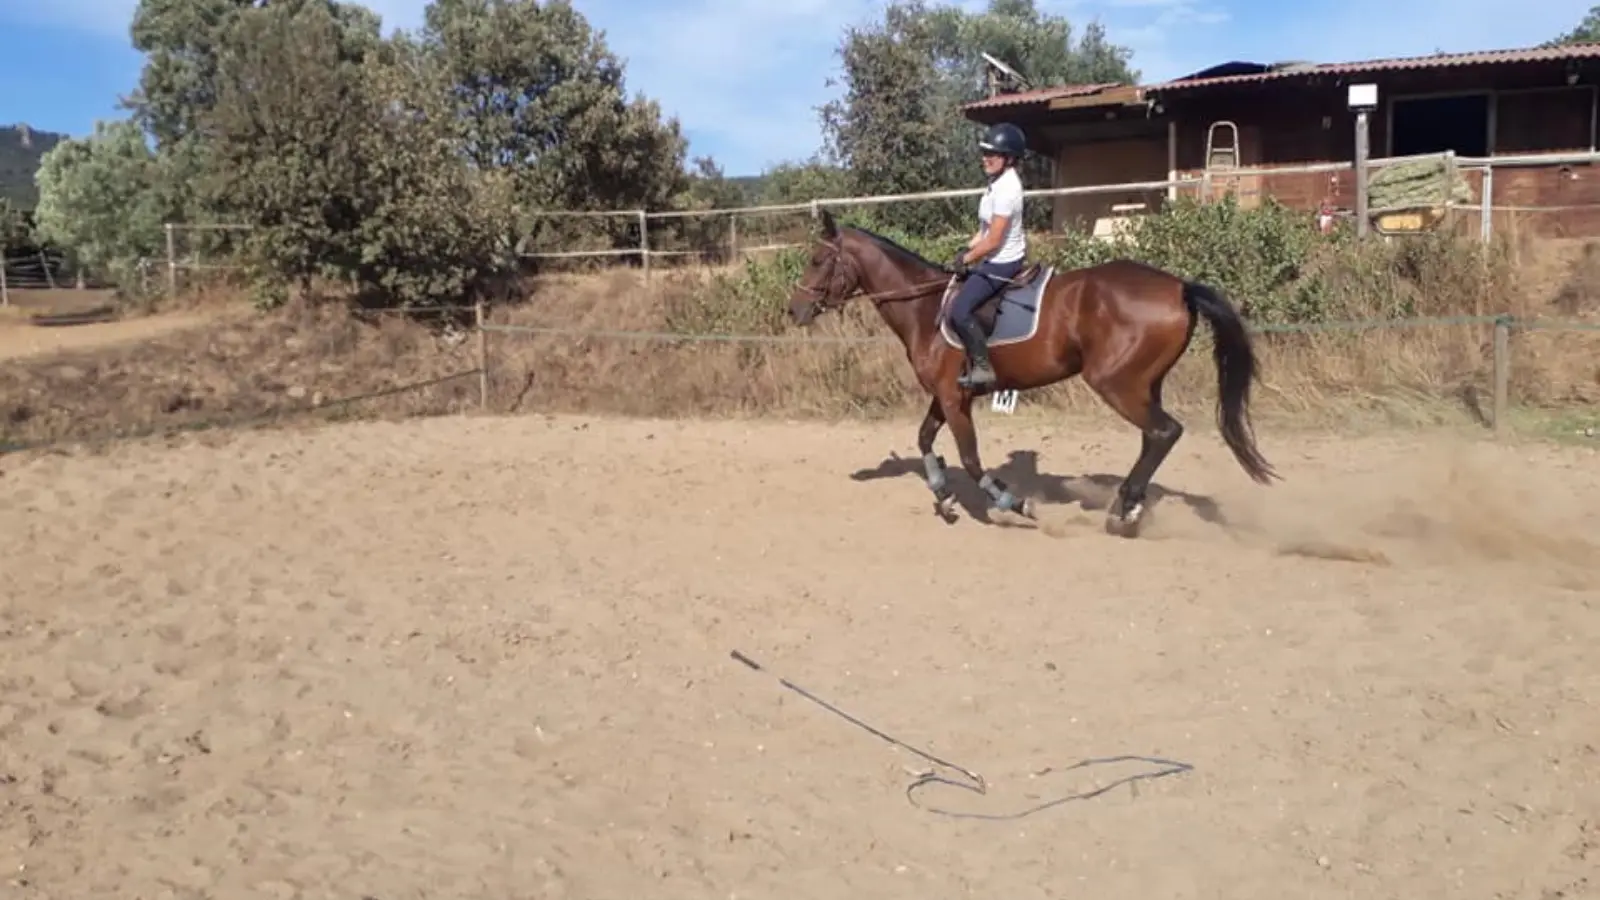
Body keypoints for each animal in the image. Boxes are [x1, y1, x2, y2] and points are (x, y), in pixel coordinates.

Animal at [784, 206, 1273, 534]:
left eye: (816, 260)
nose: (795, 311)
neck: (924, 307)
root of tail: (1179, 287)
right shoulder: (947, 395)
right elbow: (924, 439)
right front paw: (944, 497)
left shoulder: (954, 398)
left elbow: (970, 457)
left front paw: (1012, 502)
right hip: (1143, 384)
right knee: (1154, 437)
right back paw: (1129, 505)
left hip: (1116, 383)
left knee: (1164, 431)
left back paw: (1124, 510)